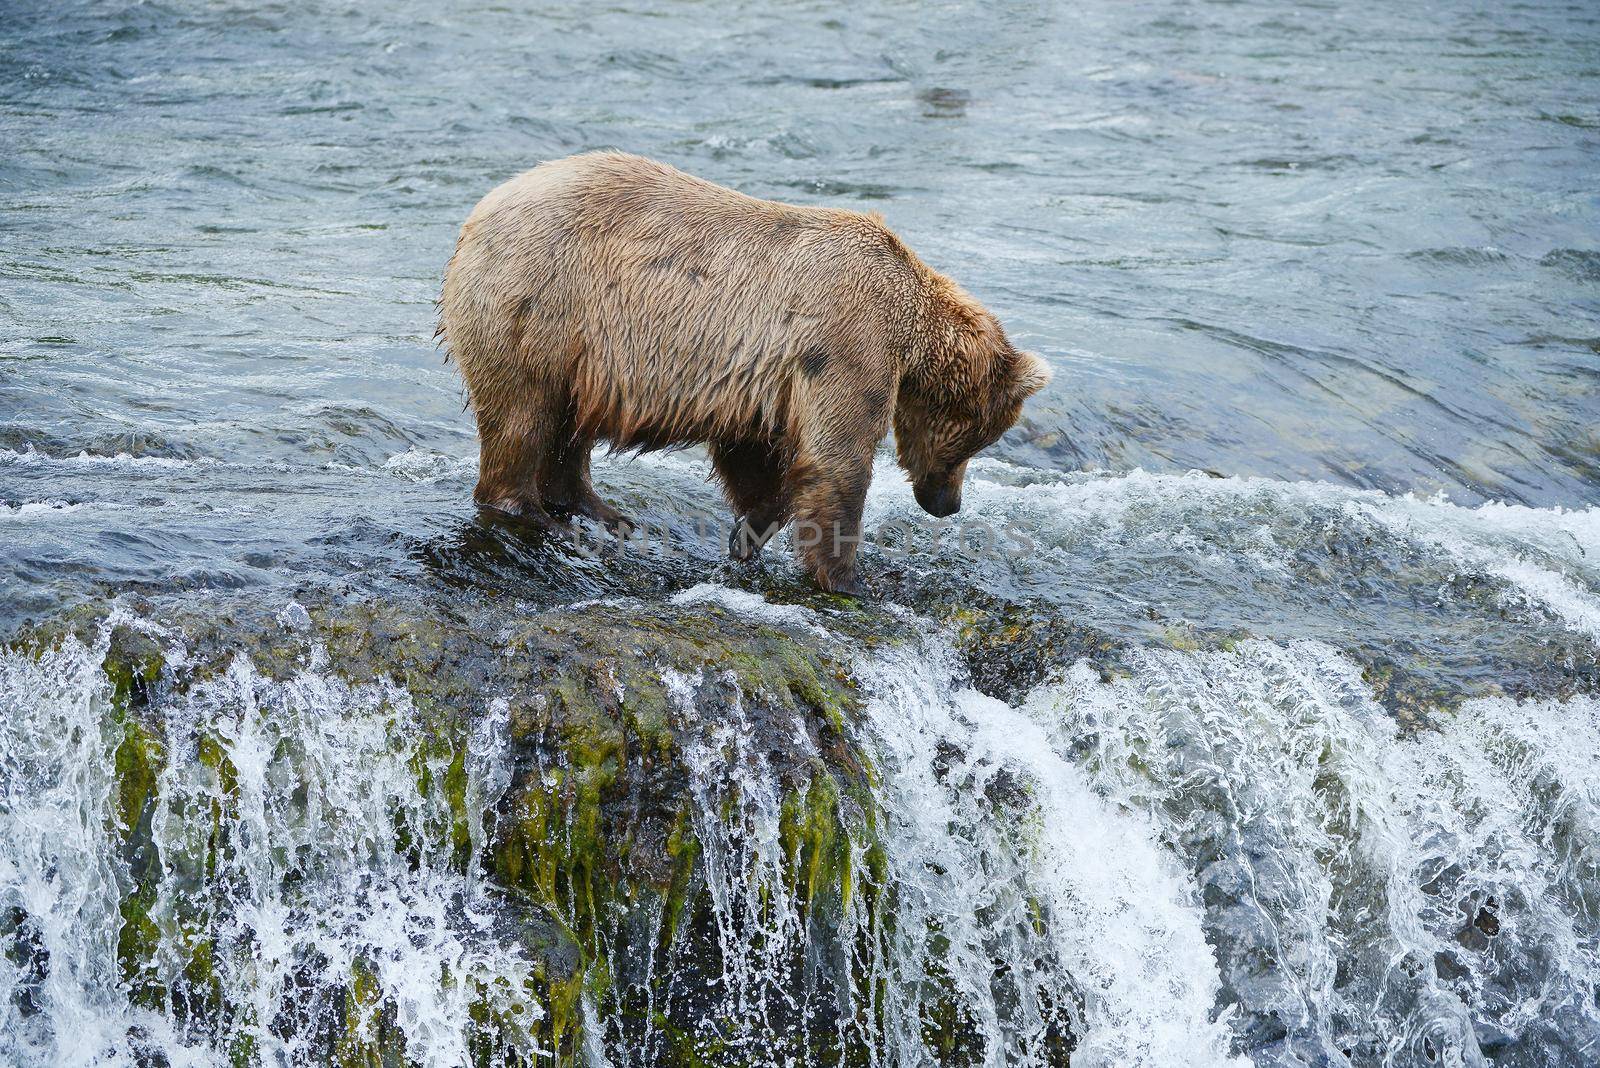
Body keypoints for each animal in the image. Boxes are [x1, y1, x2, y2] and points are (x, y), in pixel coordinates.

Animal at [438, 153, 1049, 597]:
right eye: (980, 440)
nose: (949, 504)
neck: (912, 327)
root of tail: (476, 215)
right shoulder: (849, 344)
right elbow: (838, 461)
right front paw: (850, 578)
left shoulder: (766, 375)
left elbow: (757, 451)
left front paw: (749, 533)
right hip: (542, 304)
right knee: (523, 416)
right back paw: (543, 517)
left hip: (581, 353)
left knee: (569, 425)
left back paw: (606, 514)